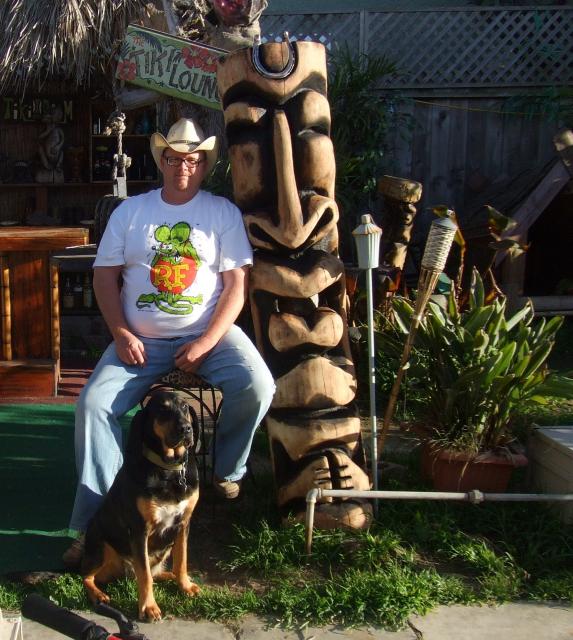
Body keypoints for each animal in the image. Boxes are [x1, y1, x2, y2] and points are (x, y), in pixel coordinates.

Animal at [81, 389, 201, 621]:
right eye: (162, 409)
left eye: (185, 407)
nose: (186, 429)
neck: (168, 469)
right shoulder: (139, 530)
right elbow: (144, 574)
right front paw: (148, 607)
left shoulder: (184, 524)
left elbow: (182, 560)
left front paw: (185, 585)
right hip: (100, 544)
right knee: (87, 577)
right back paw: (99, 595)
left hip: (164, 548)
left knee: (158, 571)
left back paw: (170, 576)